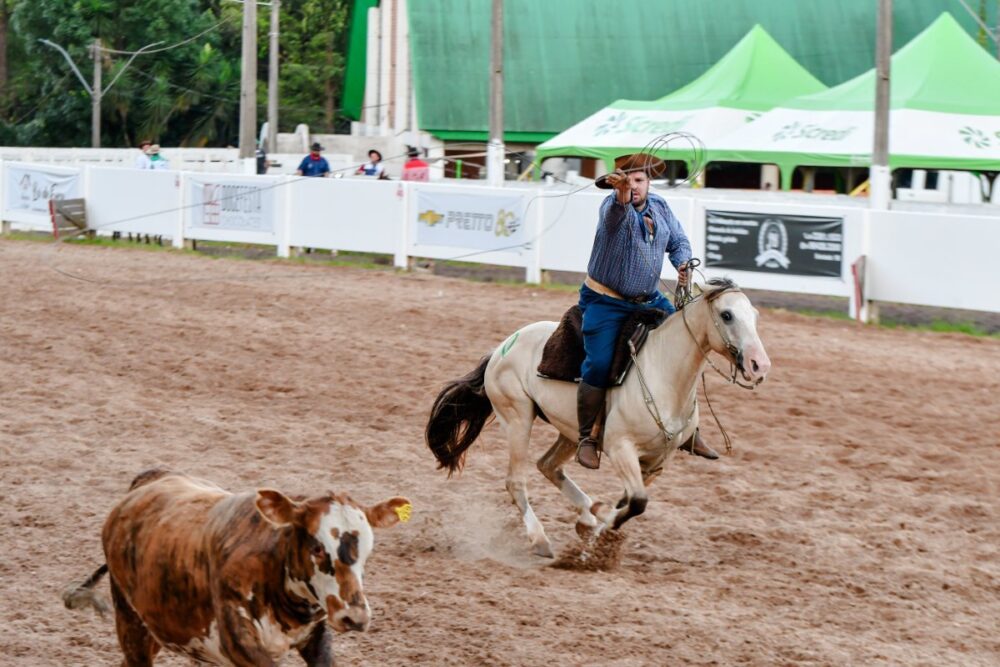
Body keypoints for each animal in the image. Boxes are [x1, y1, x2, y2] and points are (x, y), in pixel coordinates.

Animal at [63, 468, 411, 666]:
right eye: (316, 546)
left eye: (367, 550)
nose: (355, 617)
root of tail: (147, 480)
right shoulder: (241, 645)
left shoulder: (317, 639)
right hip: (131, 623)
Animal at [425, 278, 771, 557]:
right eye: (727, 315)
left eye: (755, 316)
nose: (759, 365)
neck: (662, 371)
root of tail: (501, 348)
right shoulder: (621, 449)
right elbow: (636, 502)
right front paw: (602, 518)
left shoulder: (657, 463)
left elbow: (629, 501)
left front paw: (598, 532)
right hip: (518, 418)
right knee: (516, 481)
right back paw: (541, 539)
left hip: (571, 432)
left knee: (548, 466)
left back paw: (585, 516)